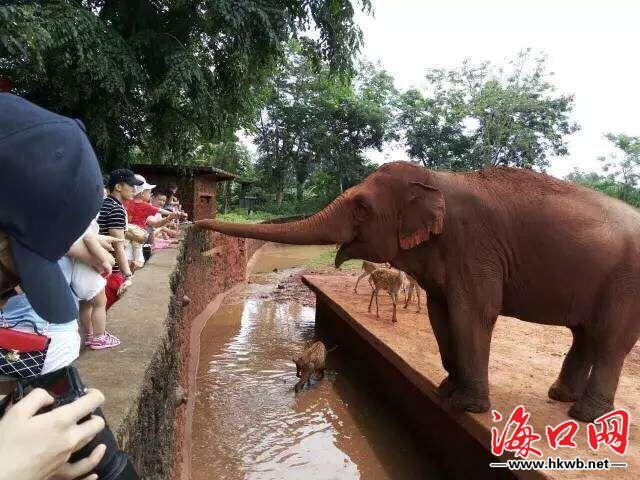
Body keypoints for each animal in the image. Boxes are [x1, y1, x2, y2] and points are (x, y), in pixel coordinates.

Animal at [196, 160, 640, 420]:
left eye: (361, 206)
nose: (192, 222)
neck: (437, 180)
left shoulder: (475, 249)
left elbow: (473, 314)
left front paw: (467, 407)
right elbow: (441, 312)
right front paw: (446, 390)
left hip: (626, 284)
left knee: (609, 340)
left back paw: (585, 416)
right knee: (585, 334)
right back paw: (560, 397)